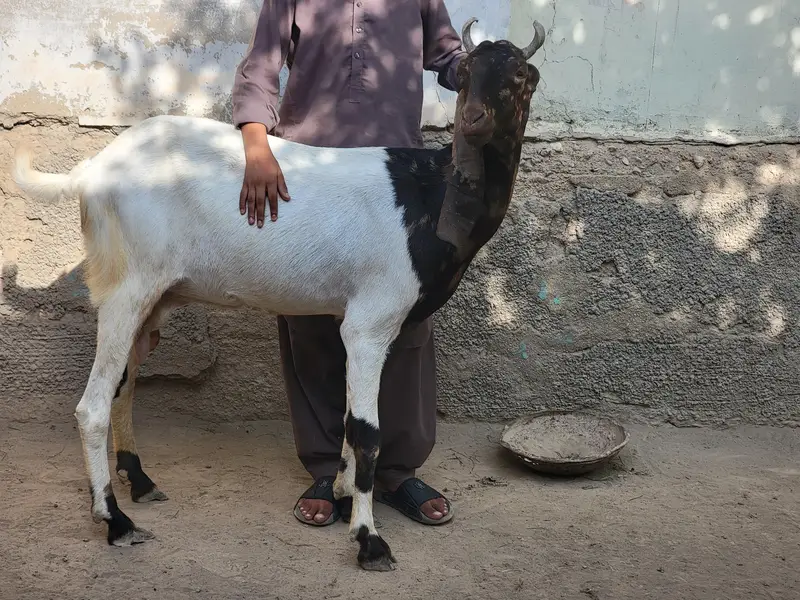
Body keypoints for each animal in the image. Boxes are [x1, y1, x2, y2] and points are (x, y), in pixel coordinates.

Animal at [12, 17, 545, 572]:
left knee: (124, 384)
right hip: (126, 287)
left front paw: (342, 490)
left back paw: (139, 481)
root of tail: (93, 170)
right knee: (92, 404)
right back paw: (115, 520)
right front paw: (368, 539)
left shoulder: (369, 322)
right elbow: (367, 430)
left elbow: (352, 422)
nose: (475, 120)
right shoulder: (370, 321)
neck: (433, 193)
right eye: (464, 75)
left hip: (151, 301)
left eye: (522, 78)